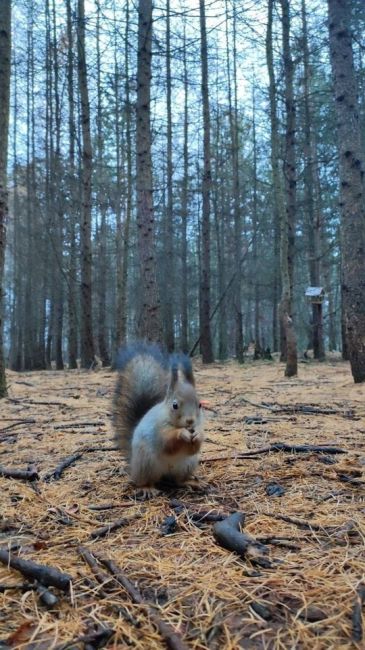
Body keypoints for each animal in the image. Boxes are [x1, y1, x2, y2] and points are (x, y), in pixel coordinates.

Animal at [113, 340, 205, 496]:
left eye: (199, 404)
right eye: (175, 405)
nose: (190, 421)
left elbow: (193, 448)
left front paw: (198, 435)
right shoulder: (158, 429)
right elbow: (167, 442)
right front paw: (181, 433)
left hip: (187, 465)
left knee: (178, 480)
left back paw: (190, 482)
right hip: (146, 463)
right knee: (145, 480)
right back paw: (147, 488)